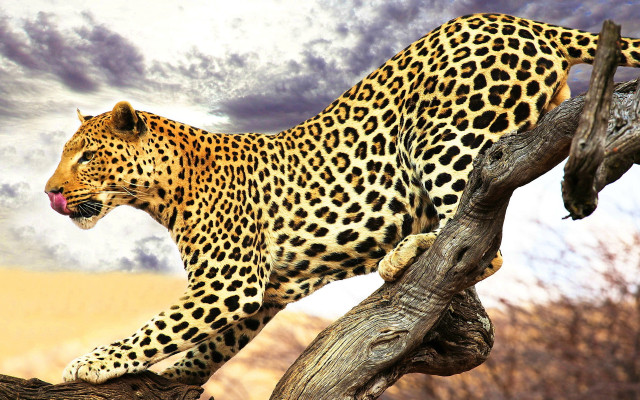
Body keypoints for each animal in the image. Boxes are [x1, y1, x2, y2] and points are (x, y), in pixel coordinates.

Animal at [45, 13, 640, 385]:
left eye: (86, 156)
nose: (49, 192)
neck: (163, 189)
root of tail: (522, 21)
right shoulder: (265, 291)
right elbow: (204, 344)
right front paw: (171, 375)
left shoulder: (229, 283)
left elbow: (156, 329)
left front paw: (89, 364)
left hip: (445, 136)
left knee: (479, 239)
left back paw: (405, 254)